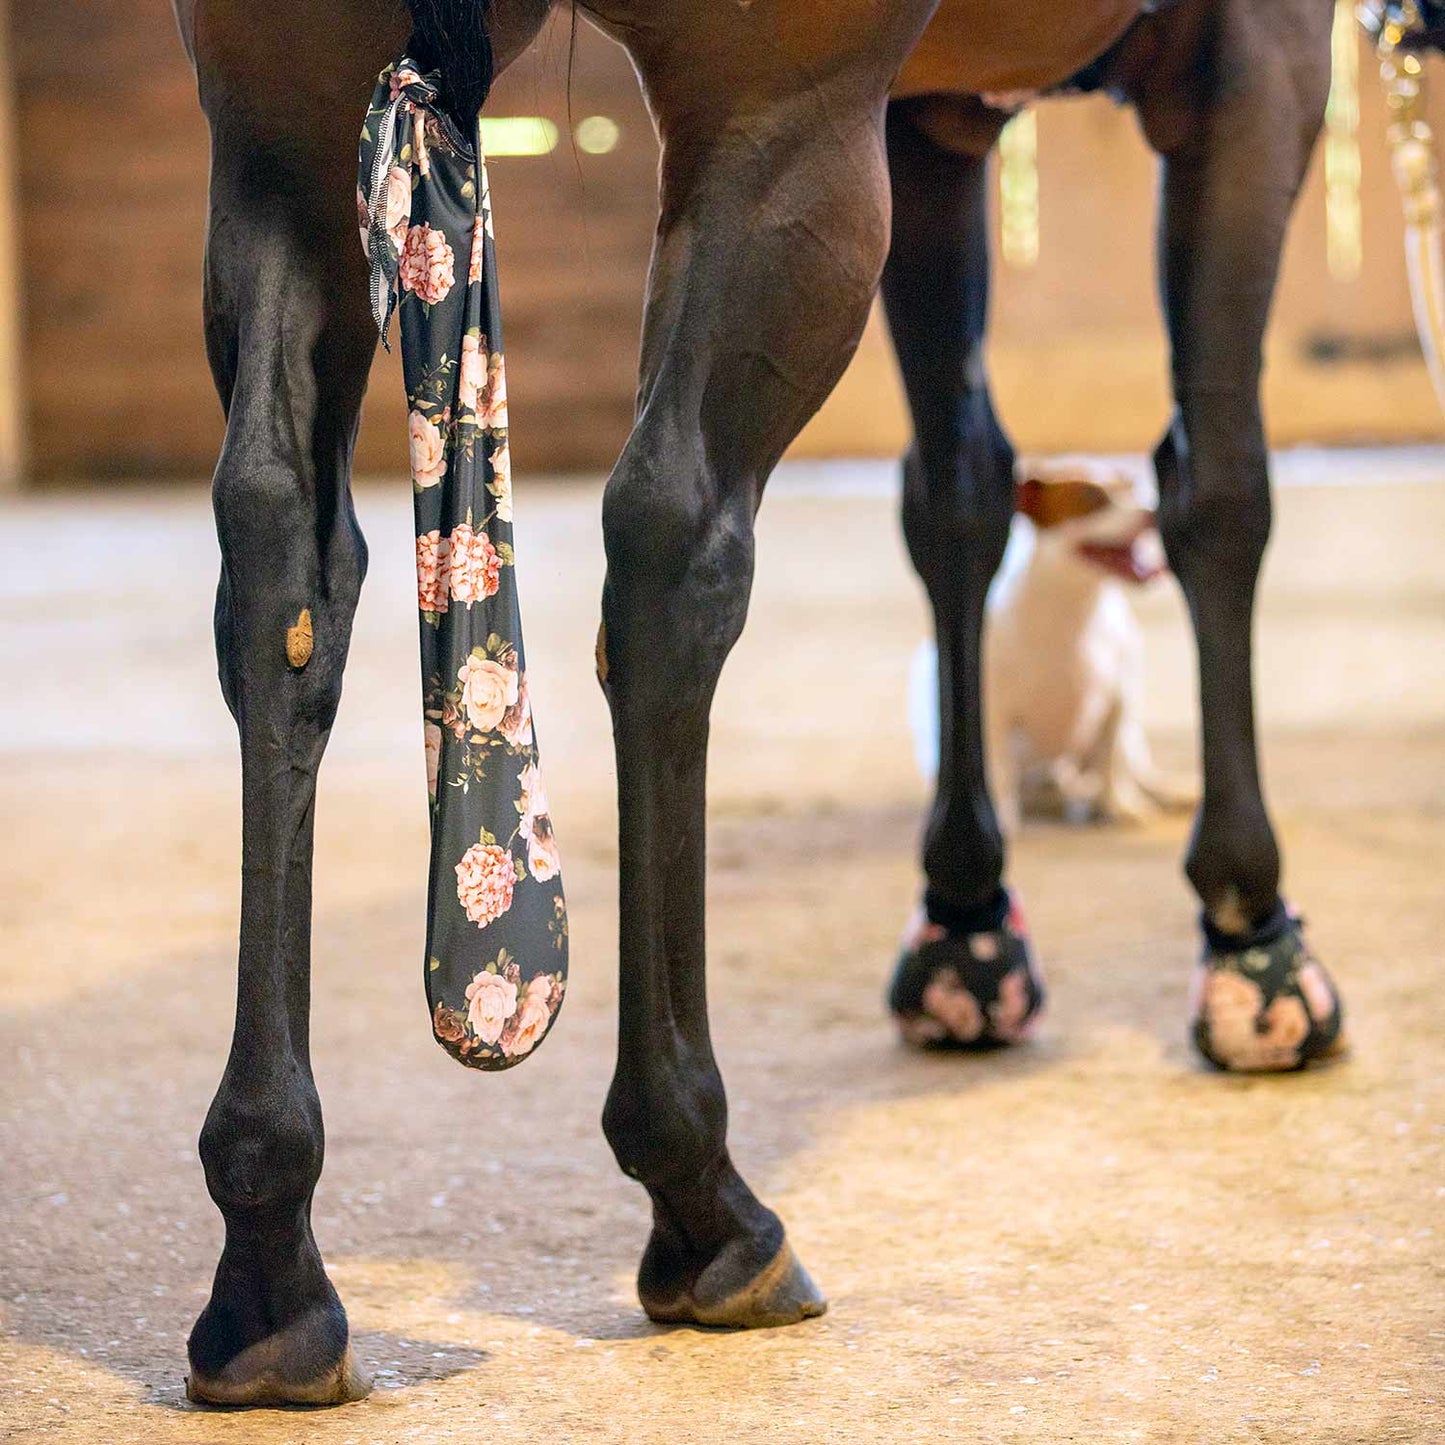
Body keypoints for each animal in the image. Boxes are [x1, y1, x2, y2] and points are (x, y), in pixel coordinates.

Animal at [172, 0, 1342, 1406]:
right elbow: (1218, 490)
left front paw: (966, 925)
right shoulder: (1253, 59)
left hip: (280, 122)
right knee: (671, 541)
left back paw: (268, 1262)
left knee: (279, 560)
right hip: (777, 124)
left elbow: (956, 487)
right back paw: (705, 1201)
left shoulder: (936, 121)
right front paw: (1253, 940)